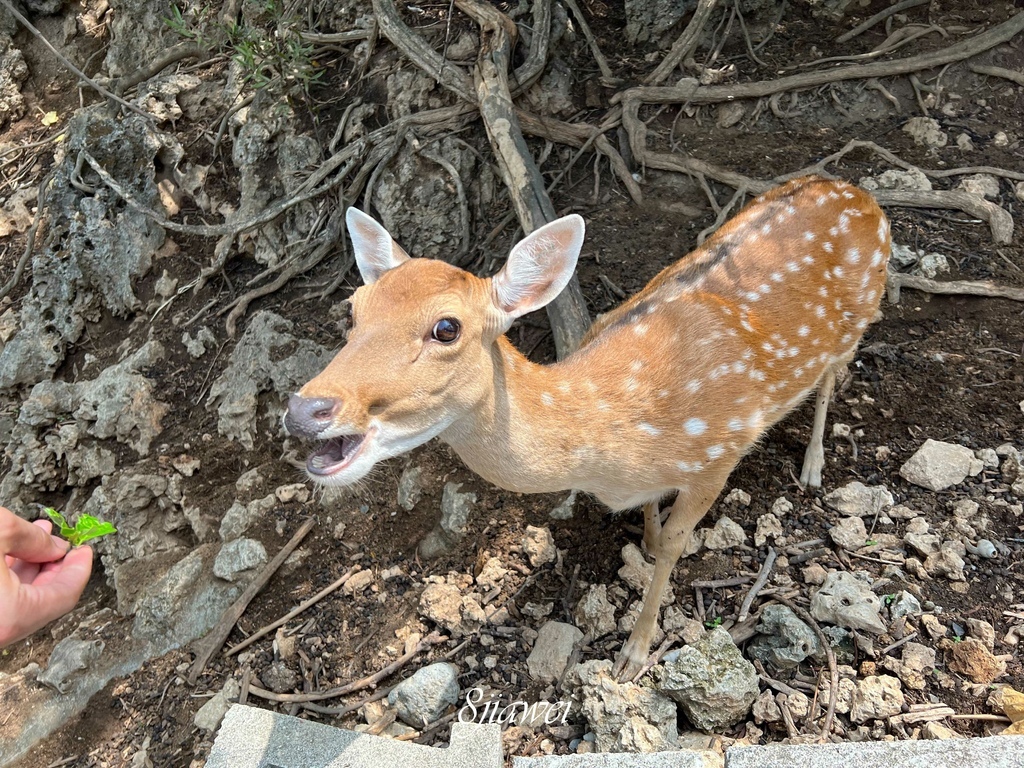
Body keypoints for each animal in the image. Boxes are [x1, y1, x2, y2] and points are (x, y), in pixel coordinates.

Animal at [286, 176, 888, 679]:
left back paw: (813, 466)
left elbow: (675, 545)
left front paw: (635, 652)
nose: (303, 410)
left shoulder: (718, 451)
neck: (615, 439)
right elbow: (653, 524)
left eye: (446, 327)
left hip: (860, 318)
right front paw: (644, 540)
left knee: (832, 376)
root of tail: (861, 194)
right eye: (354, 308)